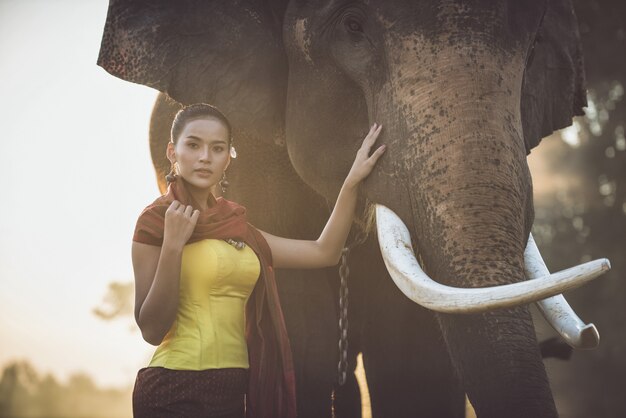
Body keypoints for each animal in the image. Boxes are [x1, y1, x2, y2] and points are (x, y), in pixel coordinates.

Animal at [98, 1, 608, 416]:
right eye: (353, 25)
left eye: (534, 43)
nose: (591, 335)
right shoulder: (251, 153)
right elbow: (306, 340)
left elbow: (413, 359)